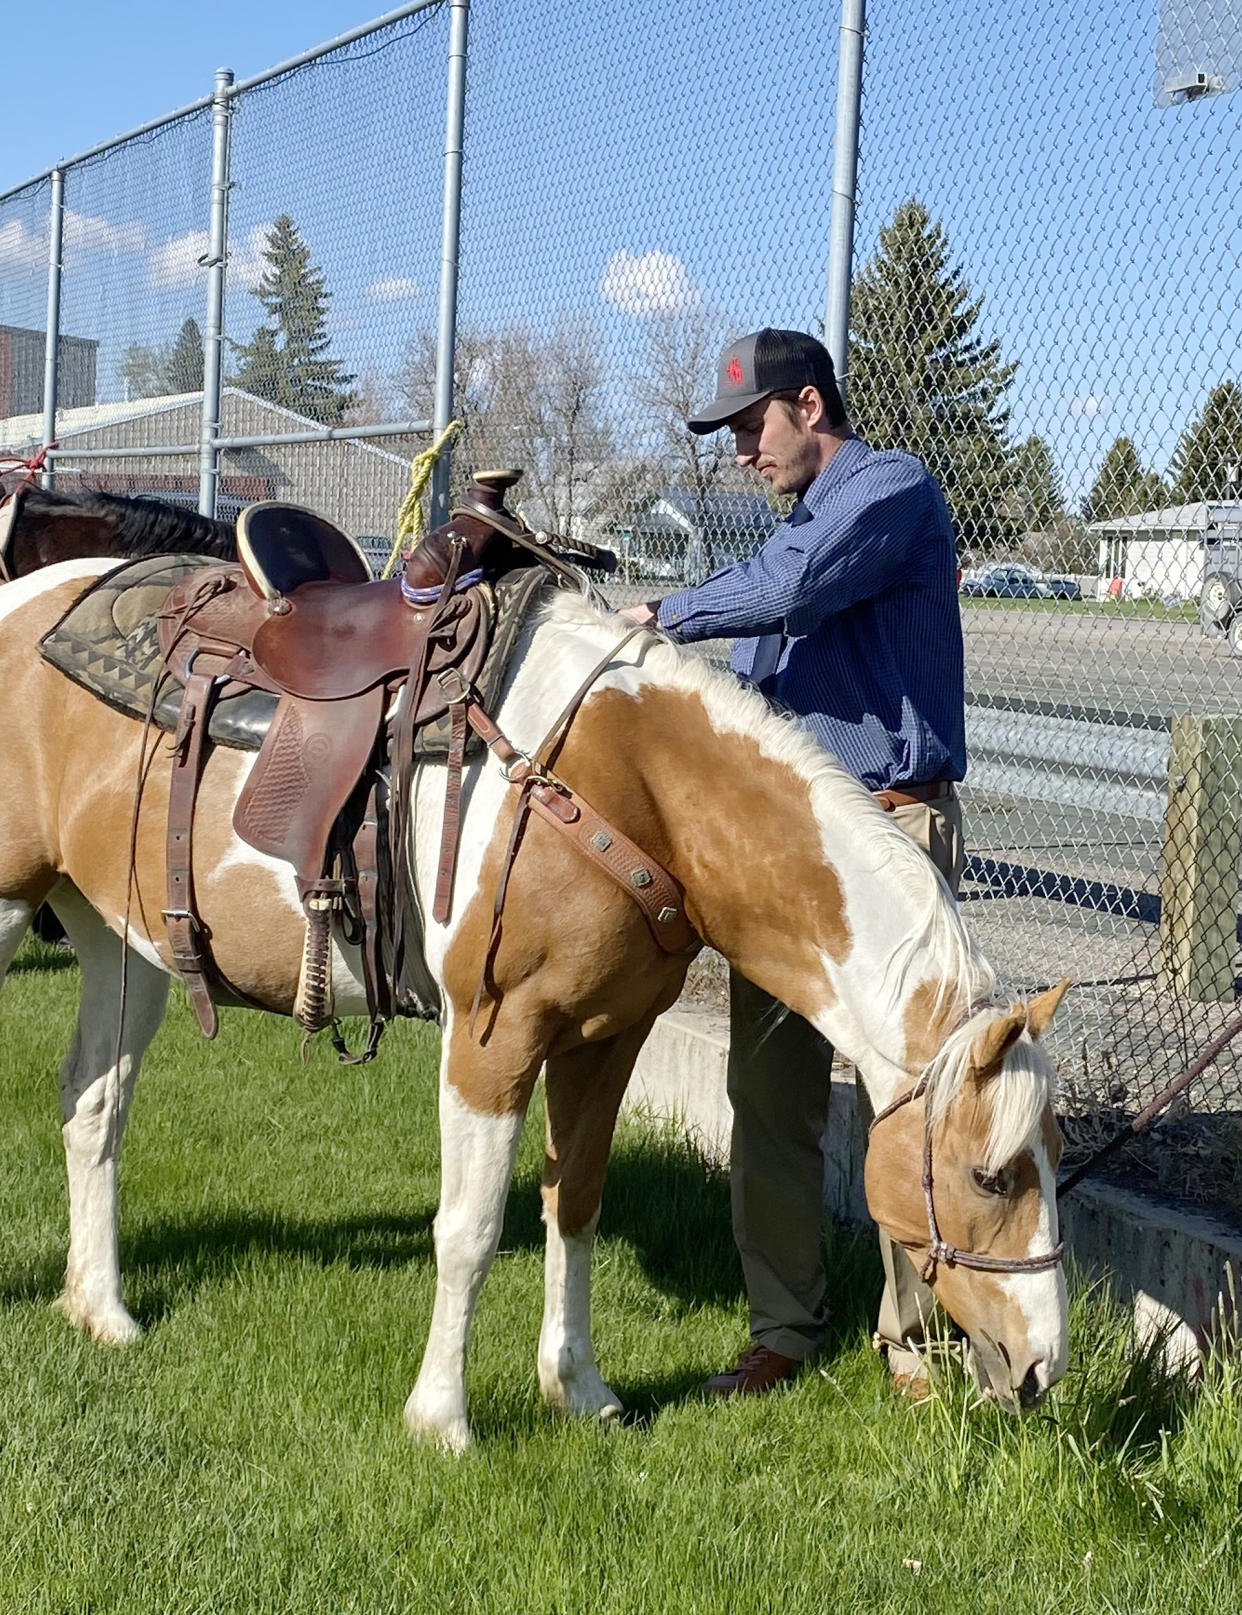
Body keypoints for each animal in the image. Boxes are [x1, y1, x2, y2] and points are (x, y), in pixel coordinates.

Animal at [0, 558, 1065, 1453]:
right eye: (991, 1176)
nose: (1042, 1366)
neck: (621, 784)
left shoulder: (606, 1037)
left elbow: (576, 1202)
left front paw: (579, 1390)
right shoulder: (493, 1038)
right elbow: (467, 1230)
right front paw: (441, 1419)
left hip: (122, 944)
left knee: (93, 1105)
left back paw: (103, 1309)